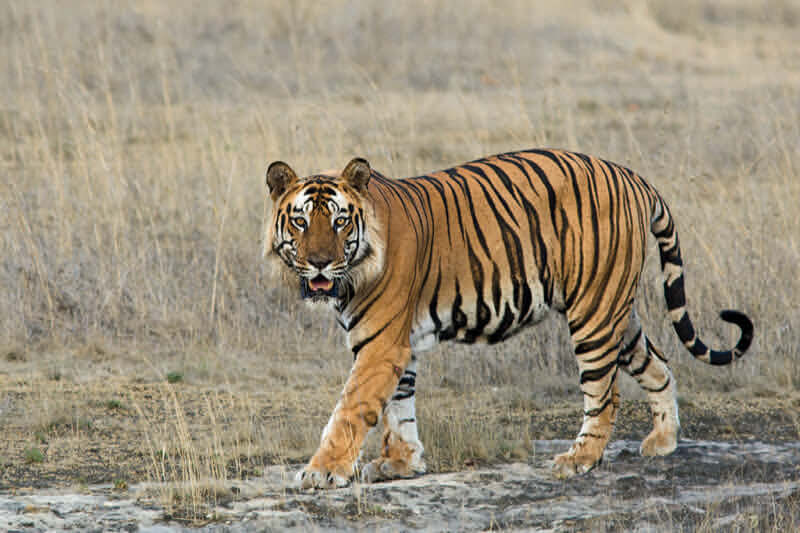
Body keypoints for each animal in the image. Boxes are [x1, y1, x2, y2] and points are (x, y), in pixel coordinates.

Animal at [263, 149, 753, 489]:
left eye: (340, 222)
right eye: (301, 222)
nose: (320, 263)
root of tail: (633, 176)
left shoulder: (381, 343)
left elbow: (351, 409)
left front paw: (322, 472)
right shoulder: (400, 343)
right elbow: (399, 407)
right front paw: (401, 462)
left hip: (593, 314)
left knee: (605, 393)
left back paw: (579, 460)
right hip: (617, 310)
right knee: (659, 365)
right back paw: (663, 442)